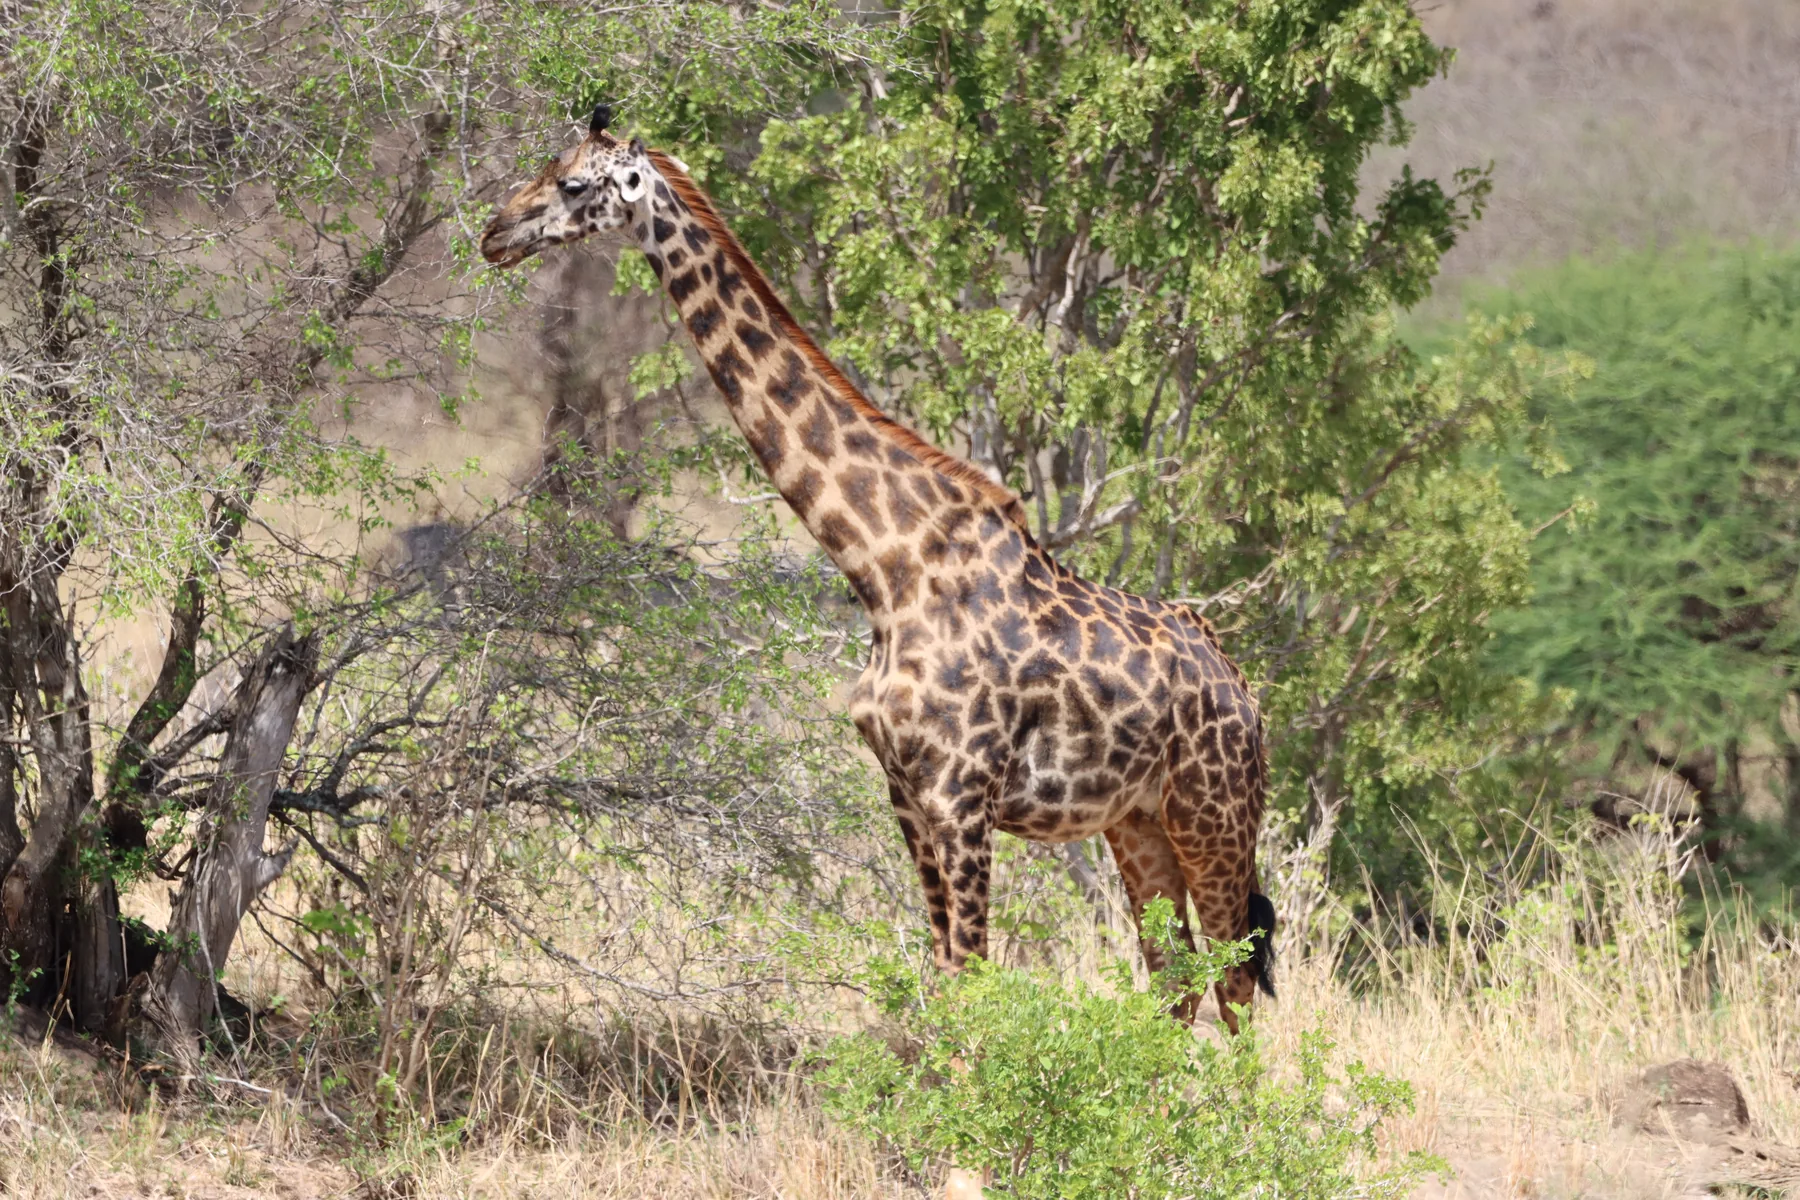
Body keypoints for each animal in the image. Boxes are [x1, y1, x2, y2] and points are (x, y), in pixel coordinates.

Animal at [481, 106, 1276, 1029]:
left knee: (1235, 983)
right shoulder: (905, 793)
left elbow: (969, 981)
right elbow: (938, 980)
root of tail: (1245, 691)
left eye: (575, 183)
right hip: (1138, 822)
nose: (494, 233)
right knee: (1173, 978)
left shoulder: (961, 798)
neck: (884, 564)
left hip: (1216, 817)